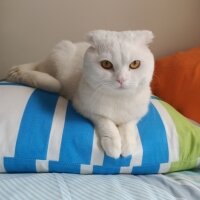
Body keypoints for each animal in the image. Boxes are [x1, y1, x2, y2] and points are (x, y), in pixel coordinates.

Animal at [5, 30, 154, 158]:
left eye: (135, 64)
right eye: (106, 64)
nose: (121, 79)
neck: (118, 99)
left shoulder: (139, 112)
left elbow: (129, 125)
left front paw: (128, 145)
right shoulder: (84, 107)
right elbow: (105, 122)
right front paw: (113, 144)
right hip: (58, 58)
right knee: (40, 70)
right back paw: (18, 73)